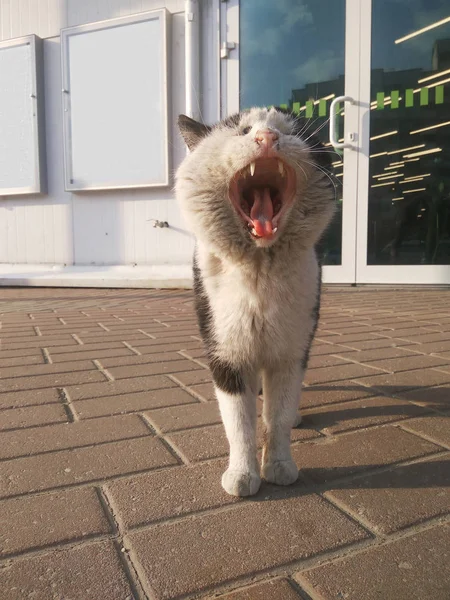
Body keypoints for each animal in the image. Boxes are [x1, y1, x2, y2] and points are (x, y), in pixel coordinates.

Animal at [175, 108, 334, 496]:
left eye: (291, 133)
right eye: (243, 131)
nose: (268, 138)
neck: (260, 269)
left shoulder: (291, 352)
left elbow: (277, 416)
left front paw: (278, 466)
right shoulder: (226, 352)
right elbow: (239, 423)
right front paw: (242, 474)